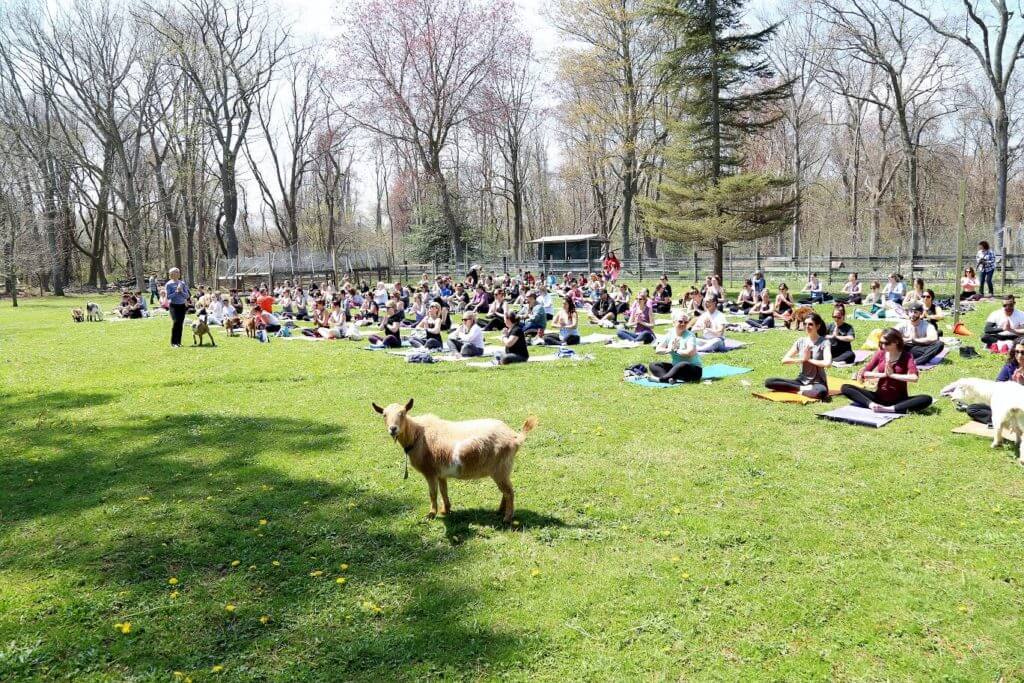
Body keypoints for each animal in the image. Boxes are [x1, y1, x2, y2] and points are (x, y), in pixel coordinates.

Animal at [372, 401, 540, 524]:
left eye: (403, 413)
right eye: (384, 415)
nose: (393, 429)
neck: (418, 434)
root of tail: (515, 437)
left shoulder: (430, 472)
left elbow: (433, 493)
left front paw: (431, 514)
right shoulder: (440, 472)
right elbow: (443, 491)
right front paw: (445, 510)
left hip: (501, 469)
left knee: (509, 492)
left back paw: (507, 518)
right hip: (502, 470)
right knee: (505, 491)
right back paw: (500, 511)